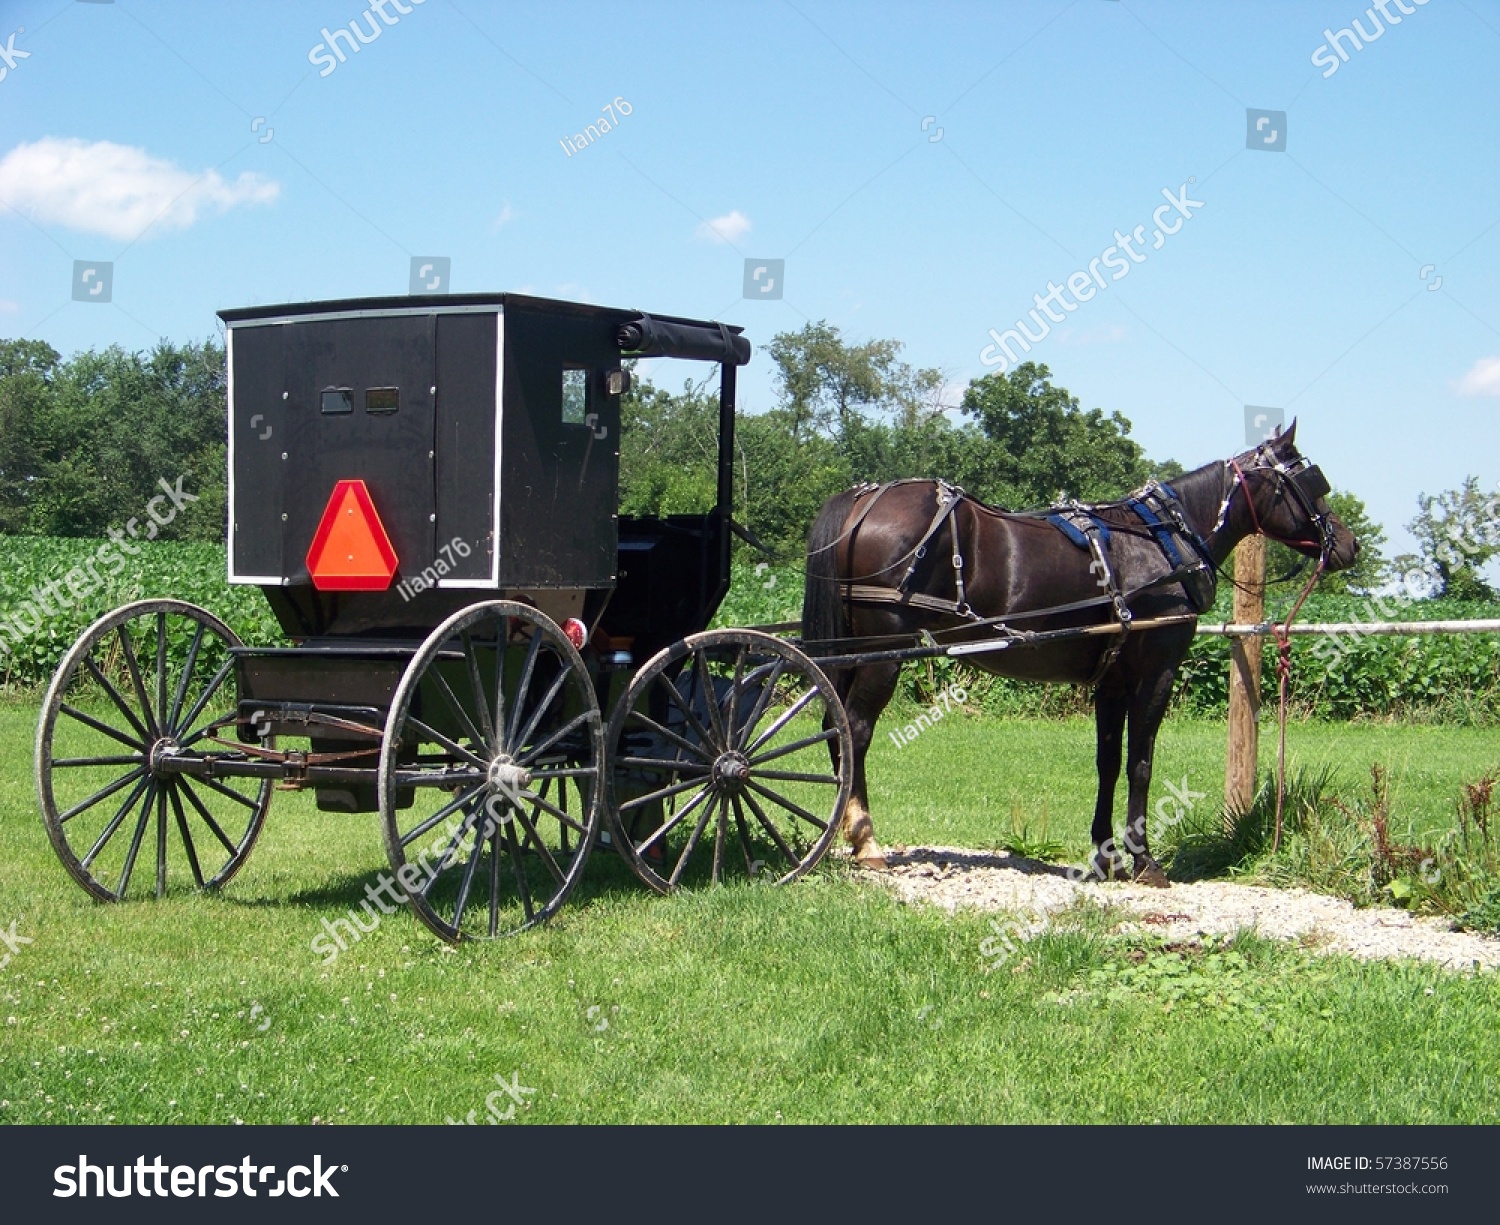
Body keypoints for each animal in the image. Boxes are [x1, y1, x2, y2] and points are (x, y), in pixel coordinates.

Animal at [810, 425, 1362, 881]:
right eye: (1311, 481)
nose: (1348, 545)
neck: (1163, 540)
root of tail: (865, 499)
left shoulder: (1112, 679)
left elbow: (1108, 761)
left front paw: (1106, 855)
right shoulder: (1156, 670)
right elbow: (1141, 761)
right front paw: (1144, 860)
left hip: (855, 651)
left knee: (836, 728)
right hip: (885, 653)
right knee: (854, 730)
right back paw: (865, 839)